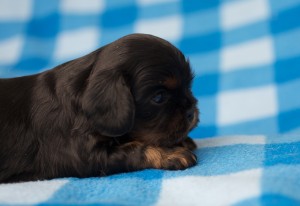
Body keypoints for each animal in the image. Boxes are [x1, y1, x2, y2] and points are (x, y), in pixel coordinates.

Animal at [0, 33, 199, 183]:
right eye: (159, 97)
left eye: (189, 86)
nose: (191, 113)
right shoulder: (84, 154)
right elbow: (135, 149)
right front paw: (171, 153)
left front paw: (183, 141)